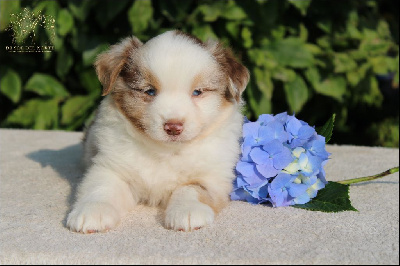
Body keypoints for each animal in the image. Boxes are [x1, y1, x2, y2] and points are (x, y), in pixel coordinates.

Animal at [68, 29, 250, 233]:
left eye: (197, 92)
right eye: (150, 91)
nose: (173, 126)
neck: (165, 151)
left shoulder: (214, 176)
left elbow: (192, 188)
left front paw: (187, 211)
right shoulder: (111, 167)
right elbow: (102, 187)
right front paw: (93, 212)